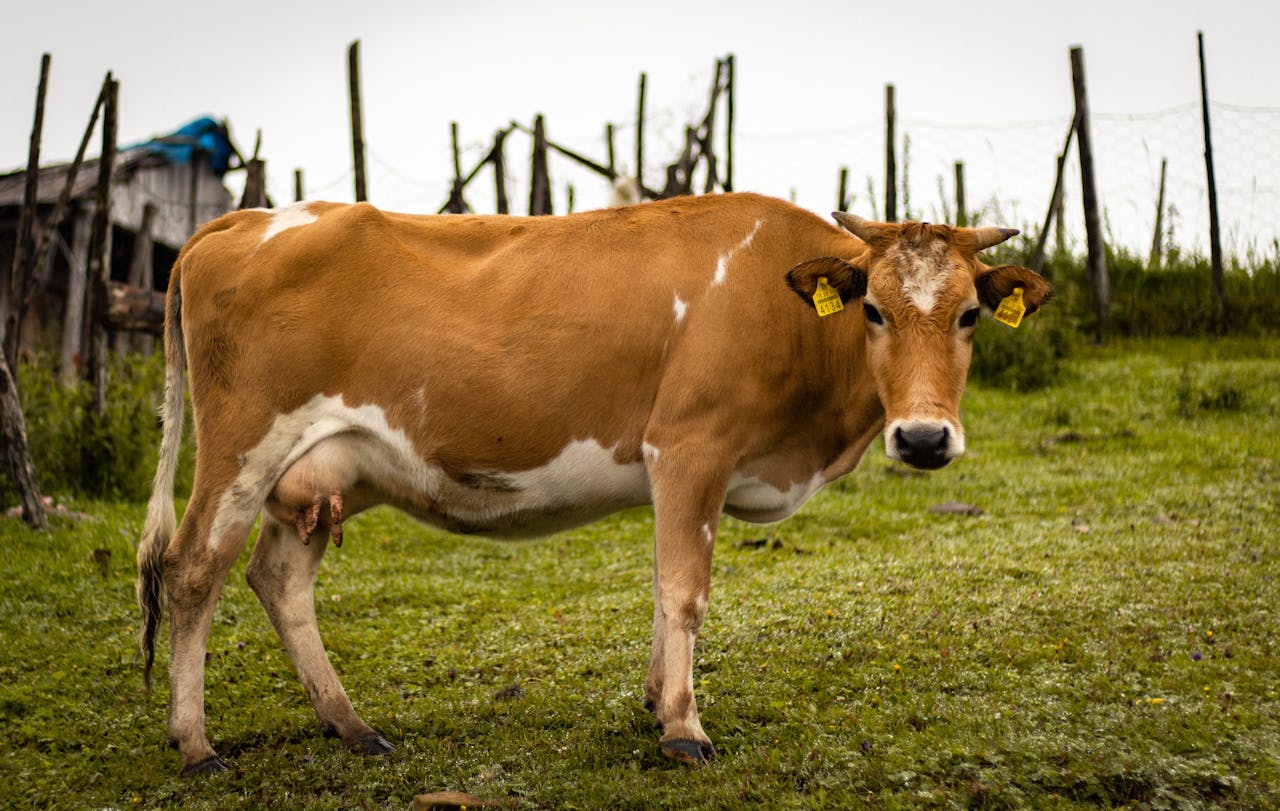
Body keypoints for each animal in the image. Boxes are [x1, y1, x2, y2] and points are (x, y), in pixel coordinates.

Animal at [136, 192, 1052, 775]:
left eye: (970, 313)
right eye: (872, 310)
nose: (924, 436)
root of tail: (246, 219)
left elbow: (660, 585)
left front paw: (655, 699)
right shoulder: (689, 444)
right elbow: (684, 588)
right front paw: (683, 727)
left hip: (317, 471)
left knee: (276, 577)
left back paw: (352, 725)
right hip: (241, 448)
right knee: (193, 571)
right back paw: (195, 744)